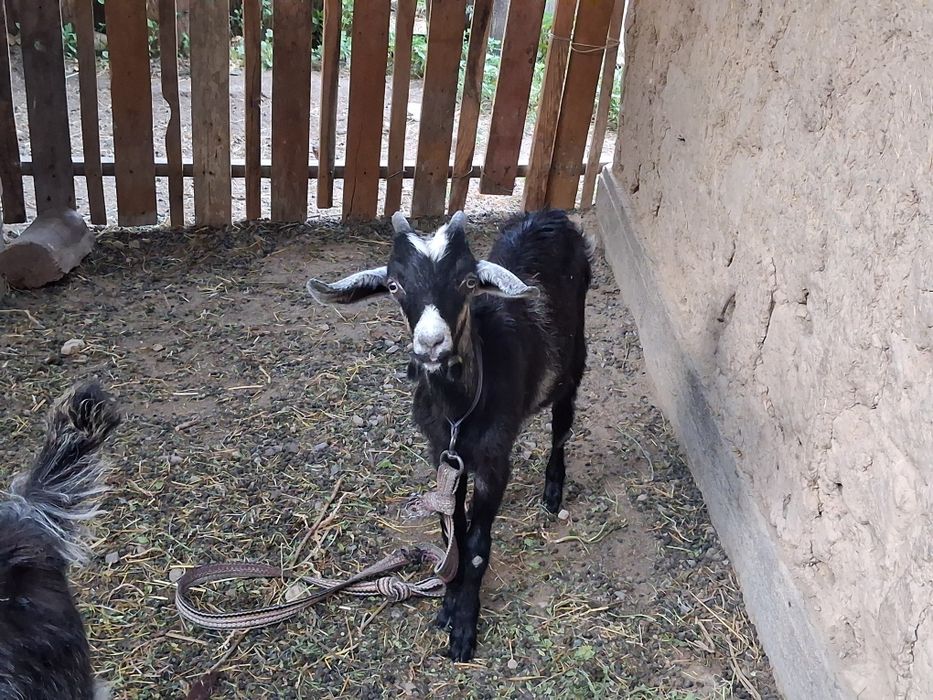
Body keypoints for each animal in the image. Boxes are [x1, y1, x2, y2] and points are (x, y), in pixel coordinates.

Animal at [307, 210, 591, 661]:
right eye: (394, 284)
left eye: (468, 282)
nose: (431, 343)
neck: (460, 412)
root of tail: (551, 215)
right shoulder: (443, 455)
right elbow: (450, 534)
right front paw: (447, 606)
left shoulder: (494, 461)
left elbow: (475, 547)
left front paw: (464, 630)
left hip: (574, 359)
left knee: (562, 424)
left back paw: (553, 492)